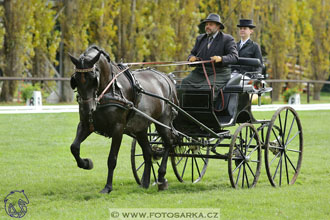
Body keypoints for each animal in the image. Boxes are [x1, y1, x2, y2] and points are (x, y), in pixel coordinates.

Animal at [69, 45, 178, 193]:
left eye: (93, 79)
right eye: (76, 79)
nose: (88, 109)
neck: (109, 90)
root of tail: (167, 78)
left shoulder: (118, 129)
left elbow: (112, 159)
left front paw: (108, 187)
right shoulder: (86, 124)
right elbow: (74, 147)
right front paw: (86, 163)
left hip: (163, 122)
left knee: (169, 143)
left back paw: (161, 177)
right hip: (140, 128)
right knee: (148, 152)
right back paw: (145, 182)